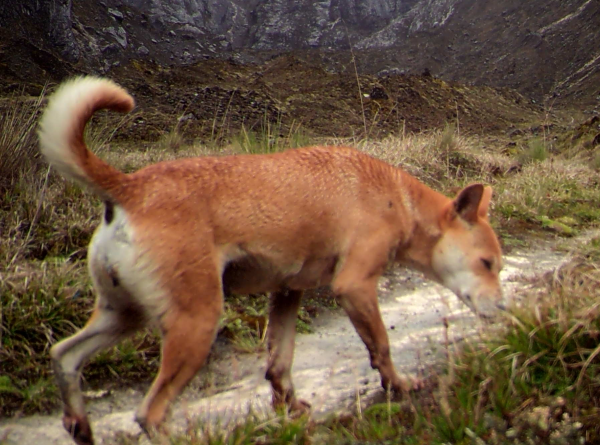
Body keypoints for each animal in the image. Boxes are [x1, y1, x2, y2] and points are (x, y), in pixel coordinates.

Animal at [39, 77, 504, 444]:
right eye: (487, 264)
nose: (504, 309)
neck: (399, 198)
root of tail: (130, 187)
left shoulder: (286, 293)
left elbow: (280, 365)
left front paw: (290, 410)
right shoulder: (354, 286)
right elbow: (381, 348)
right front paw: (400, 386)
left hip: (123, 316)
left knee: (64, 356)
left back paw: (79, 424)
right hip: (196, 323)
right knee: (149, 413)